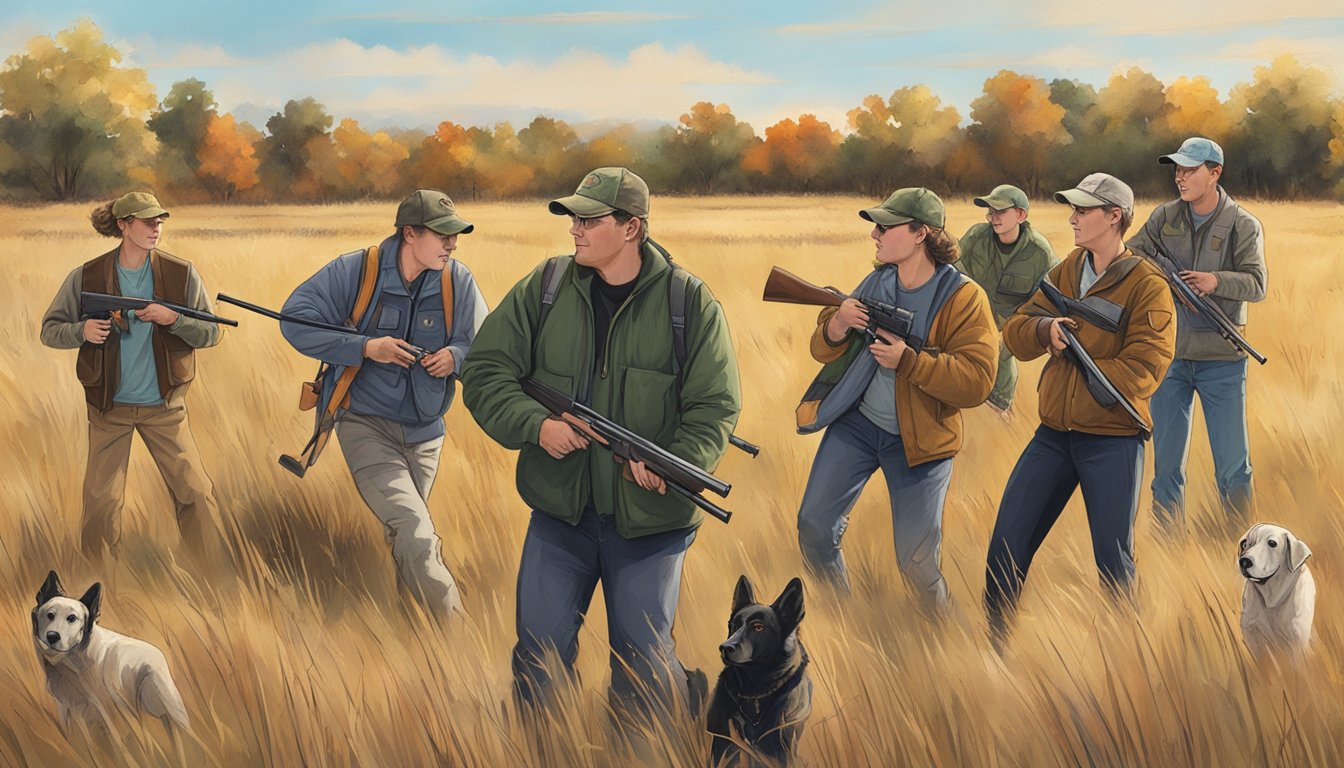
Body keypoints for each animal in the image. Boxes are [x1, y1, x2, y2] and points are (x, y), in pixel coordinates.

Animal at [31, 570, 190, 753]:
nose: (52, 636)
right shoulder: (67, 710)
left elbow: (118, 746)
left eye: (72, 618)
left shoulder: (104, 712)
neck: (69, 664)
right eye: (50, 615)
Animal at [709, 572, 811, 763]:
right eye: (733, 625)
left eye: (758, 627)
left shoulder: (781, 748)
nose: (724, 647)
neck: (755, 692)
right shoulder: (722, 744)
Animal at [1236, 521, 1311, 661]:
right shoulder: (1252, 632)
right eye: (1244, 543)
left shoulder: (1297, 643)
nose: (1243, 562)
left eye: (1272, 543)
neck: (1272, 600)